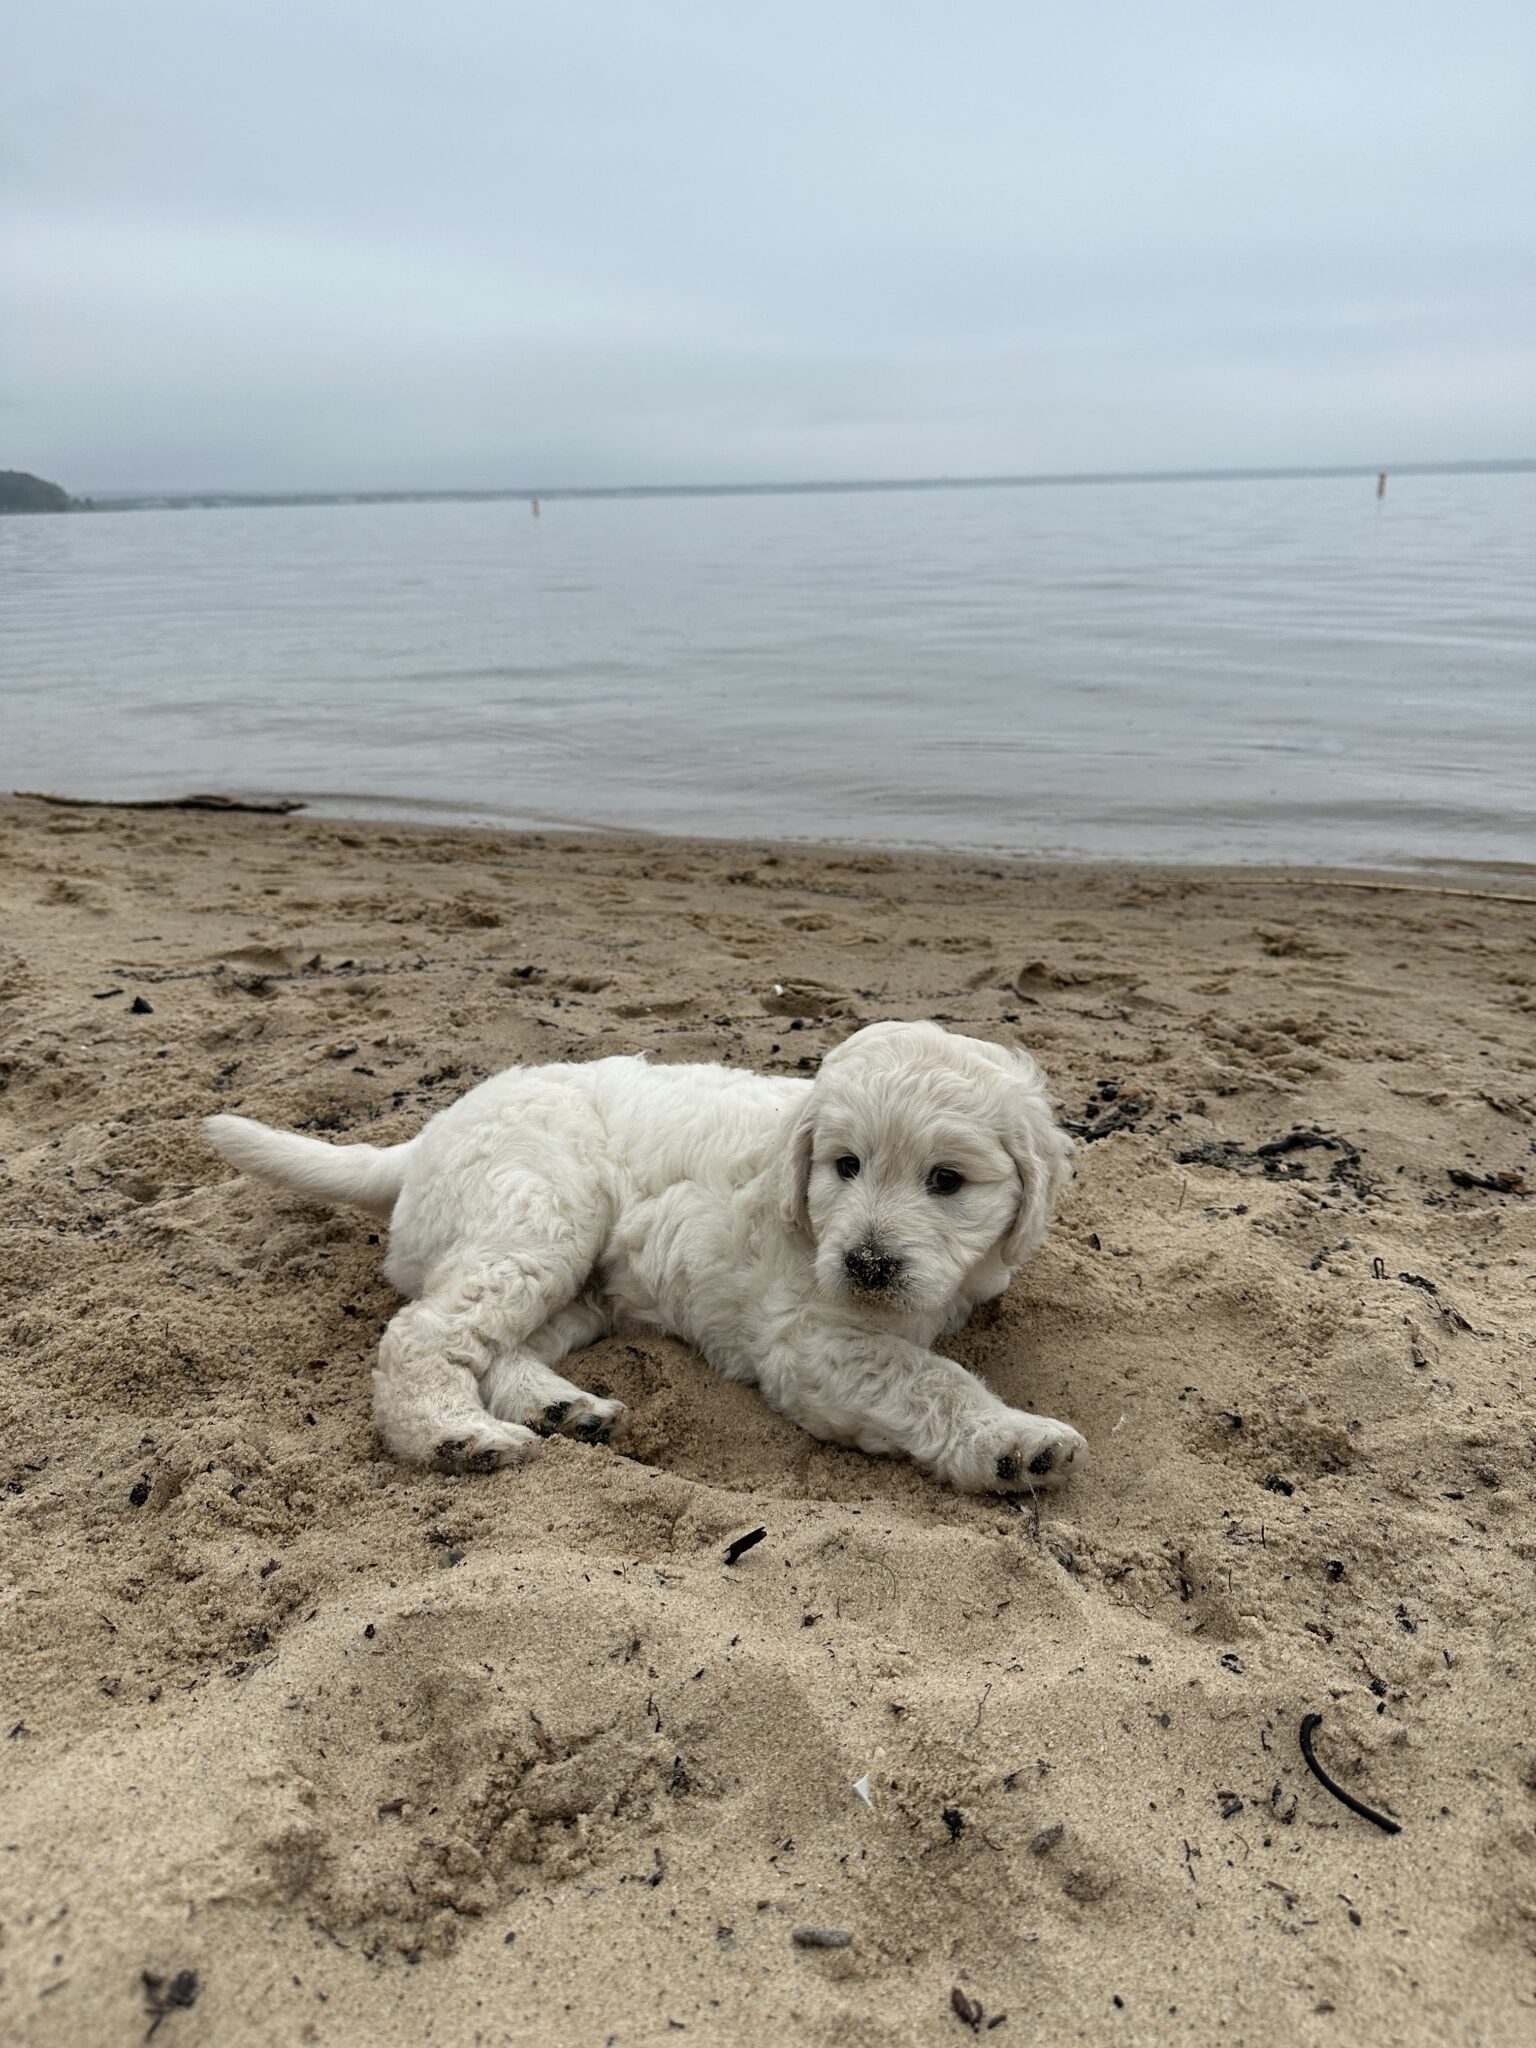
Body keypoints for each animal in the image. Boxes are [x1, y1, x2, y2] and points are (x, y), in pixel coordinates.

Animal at [205, 1019, 1086, 1494]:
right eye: (846, 1166)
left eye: (947, 1181)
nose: (867, 1264)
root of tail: (425, 1138)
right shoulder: (810, 1343)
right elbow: (930, 1380)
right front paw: (1014, 1443)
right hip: (542, 1213)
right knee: (427, 1331)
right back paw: (455, 1437)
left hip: (582, 1279)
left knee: (501, 1344)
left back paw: (560, 1408)